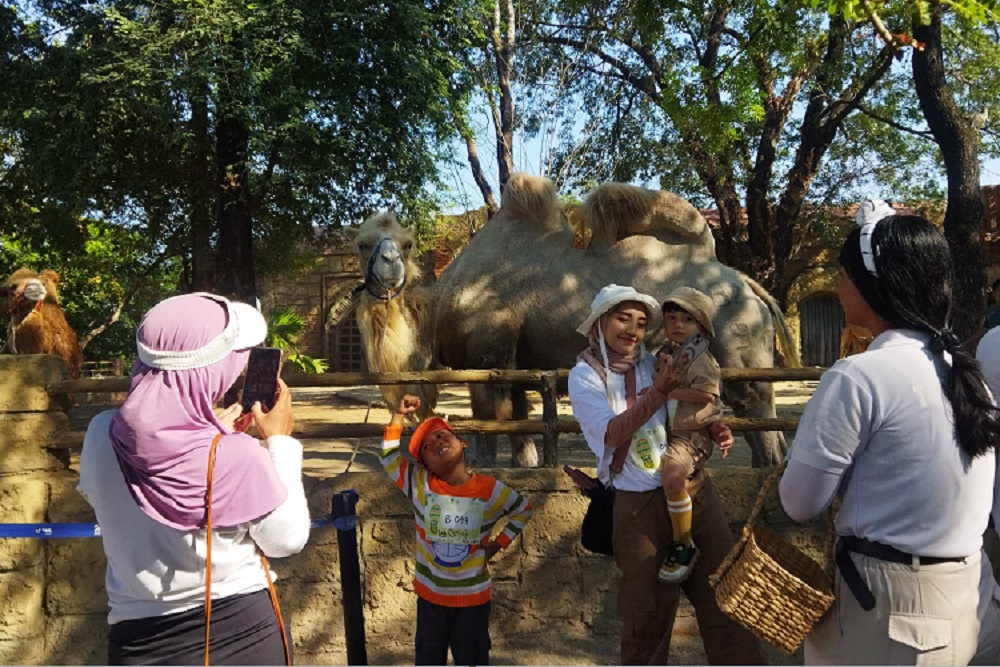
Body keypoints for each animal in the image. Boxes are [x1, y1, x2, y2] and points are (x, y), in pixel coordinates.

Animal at [348, 175, 800, 468]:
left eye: (407, 244)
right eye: (362, 243)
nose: (388, 263)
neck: (442, 305)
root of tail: (745, 282)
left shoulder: (489, 353)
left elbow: (491, 420)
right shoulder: (517, 361)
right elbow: (520, 421)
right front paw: (529, 464)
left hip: (742, 348)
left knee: (759, 407)